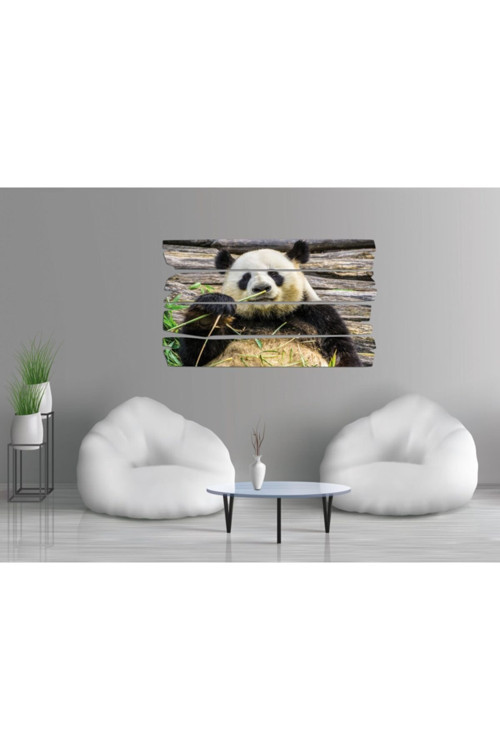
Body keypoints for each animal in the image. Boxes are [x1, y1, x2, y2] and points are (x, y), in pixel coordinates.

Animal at [178, 240, 362, 367]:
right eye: (245, 277)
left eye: (274, 274)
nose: (261, 288)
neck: (267, 315)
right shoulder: (237, 321)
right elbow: (196, 356)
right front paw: (207, 315)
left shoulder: (319, 317)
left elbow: (342, 353)